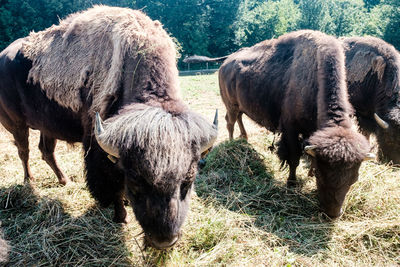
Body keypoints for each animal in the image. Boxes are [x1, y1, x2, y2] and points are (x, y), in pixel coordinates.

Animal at [0, 5, 219, 250]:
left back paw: (64, 180)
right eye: (135, 181)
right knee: (24, 151)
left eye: (188, 181)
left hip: (47, 127)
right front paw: (121, 216)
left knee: (46, 151)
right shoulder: (100, 148)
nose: (163, 241)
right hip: (16, 124)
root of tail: (3, 57)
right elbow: (112, 185)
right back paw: (30, 182)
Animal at [217, 29, 374, 218]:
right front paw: (292, 183)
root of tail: (225, 64)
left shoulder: (310, 132)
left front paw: (309, 172)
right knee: (230, 123)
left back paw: (245, 139)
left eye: (354, 178)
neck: (314, 74)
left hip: (239, 106)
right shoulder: (290, 129)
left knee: (238, 119)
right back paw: (232, 143)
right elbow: (293, 158)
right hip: (230, 105)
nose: (332, 213)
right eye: (321, 175)